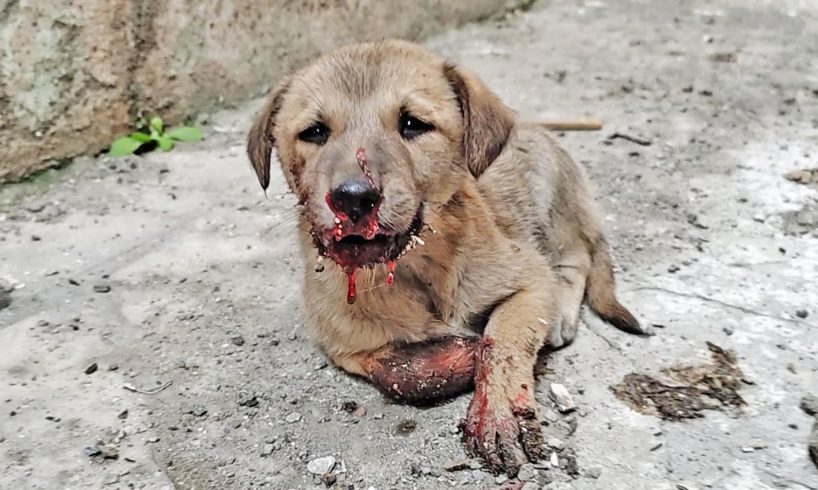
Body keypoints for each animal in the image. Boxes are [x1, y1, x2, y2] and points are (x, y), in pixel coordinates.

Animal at [245, 40, 648, 476]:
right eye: (314, 132)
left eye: (412, 124)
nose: (353, 198)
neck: (417, 267)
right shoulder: (342, 344)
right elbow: (401, 372)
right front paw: (457, 358)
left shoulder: (528, 276)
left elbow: (504, 340)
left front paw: (498, 411)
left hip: (551, 200)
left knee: (579, 255)